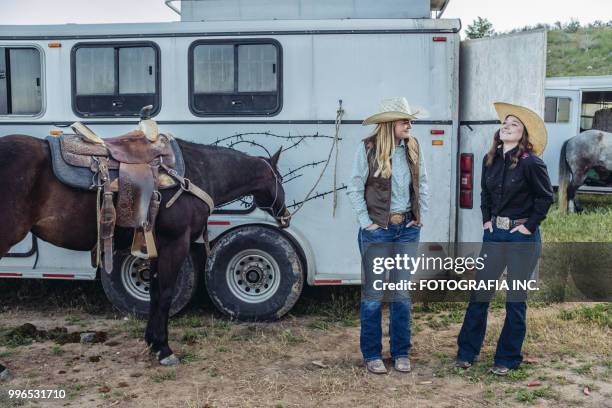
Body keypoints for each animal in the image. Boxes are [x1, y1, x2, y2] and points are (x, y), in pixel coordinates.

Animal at [0, 135, 290, 366]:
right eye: (280, 178)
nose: (285, 216)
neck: (196, 173)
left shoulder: (156, 246)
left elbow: (155, 293)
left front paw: (152, 342)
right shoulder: (176, 243)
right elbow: (166, 293)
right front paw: (164, 349)